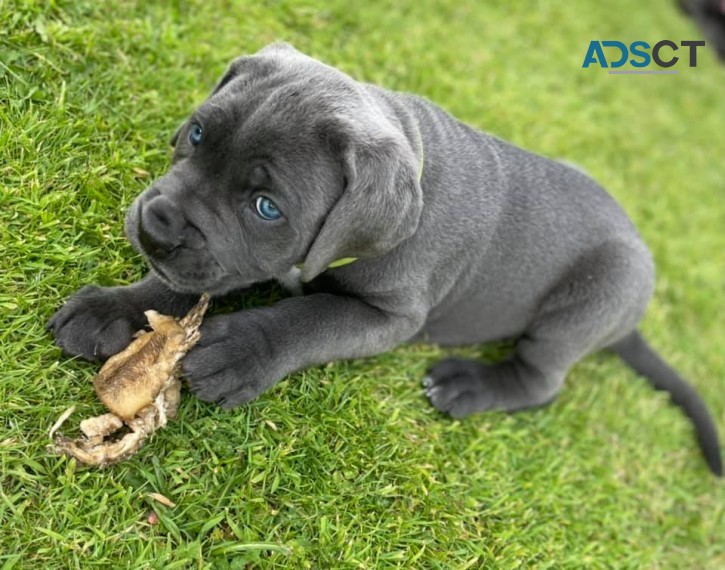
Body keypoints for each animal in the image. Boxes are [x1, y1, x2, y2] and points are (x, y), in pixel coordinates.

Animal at [48, 42, 720, 472]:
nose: (155, 228)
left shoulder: (390, 316)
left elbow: (310, 319)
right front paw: (113, 307)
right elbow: (188, 282)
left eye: (266, 207)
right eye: (195, 134)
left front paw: (240, 350)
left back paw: (471, 385)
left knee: (542, 378)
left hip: (593, 297)